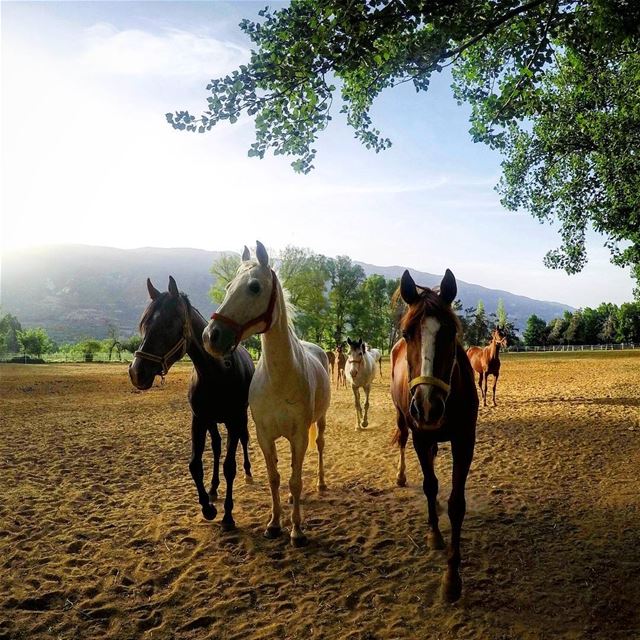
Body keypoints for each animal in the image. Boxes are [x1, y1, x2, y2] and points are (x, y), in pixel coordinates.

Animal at [129, 276, 254, 528]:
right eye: (144, 324)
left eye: (168, 324)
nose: (137, 372)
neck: (217, 372)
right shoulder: (199, 419)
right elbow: (195, 464)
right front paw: (208, 507)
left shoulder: (234, 420)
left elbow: (230, 466)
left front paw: (228, 516)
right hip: (213, 422)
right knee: (216, 447)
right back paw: (214, 489)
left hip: (241, 418)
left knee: (243, 441)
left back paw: (248, 473)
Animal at [204, 242, 332, 548]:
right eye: (228, 286)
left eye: (254, 287)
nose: (211, 336)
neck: (280, 378)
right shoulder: (264, 435)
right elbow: (275, 477)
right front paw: (274, 524)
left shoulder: (299, 435)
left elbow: (295, 480)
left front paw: (297, 531)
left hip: (320, 421)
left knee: (319, 447)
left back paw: (321, 483)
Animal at [388, 268, 478, 604]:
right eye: (405, 333)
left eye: (451, 333)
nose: (427, 405)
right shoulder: (420, 437)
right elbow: (429, 485)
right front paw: (434, 534)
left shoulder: (465, 441)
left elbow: (456, 504)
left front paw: (452, 578)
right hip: (404, 420)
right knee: (404, 443)